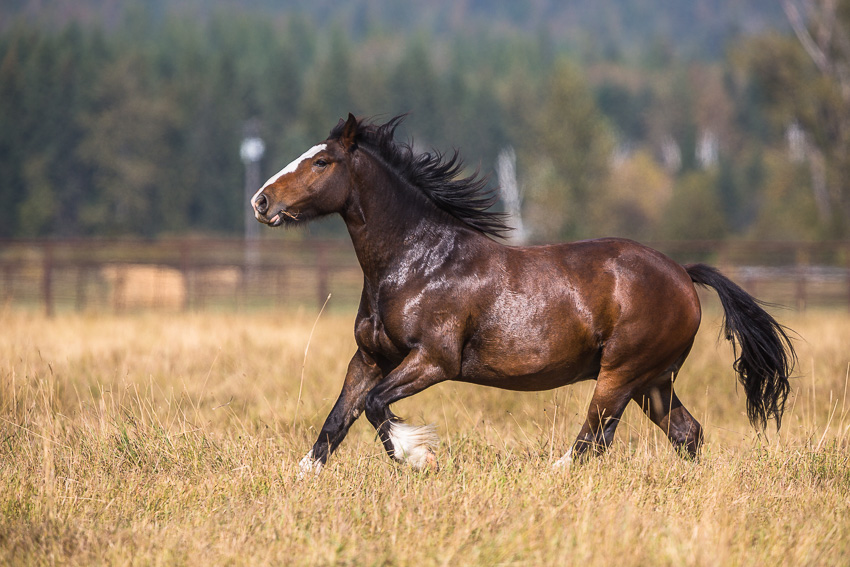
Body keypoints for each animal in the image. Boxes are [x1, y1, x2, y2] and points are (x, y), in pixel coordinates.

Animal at [248, 113, 792, 472]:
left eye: (321, 162)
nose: (261, 201)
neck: (416, 262)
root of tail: (681, 271)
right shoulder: (369, 358)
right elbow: (337, 422)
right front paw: (302, 479)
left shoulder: (433, 361)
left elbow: (378, 408)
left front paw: (418, 457)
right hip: (653, 381)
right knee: (684, 432)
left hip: (622, 372)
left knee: (594, 439)